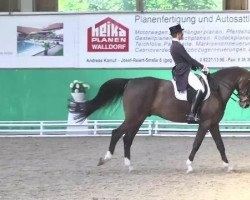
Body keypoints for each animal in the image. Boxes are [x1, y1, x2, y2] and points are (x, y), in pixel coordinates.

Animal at [69, 67, 250, 172]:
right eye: (249, 82)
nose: (245, 104)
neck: (216, 89)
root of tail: (130, 82)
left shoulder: (213, 124)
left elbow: (220, 145)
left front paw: (228, 165)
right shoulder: (205, 123)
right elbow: (197, 144)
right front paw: (189, 165)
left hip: (139, 119)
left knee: (127, 138)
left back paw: (129, 165)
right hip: (134, 117)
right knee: (117, 133)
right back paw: (105, 159)